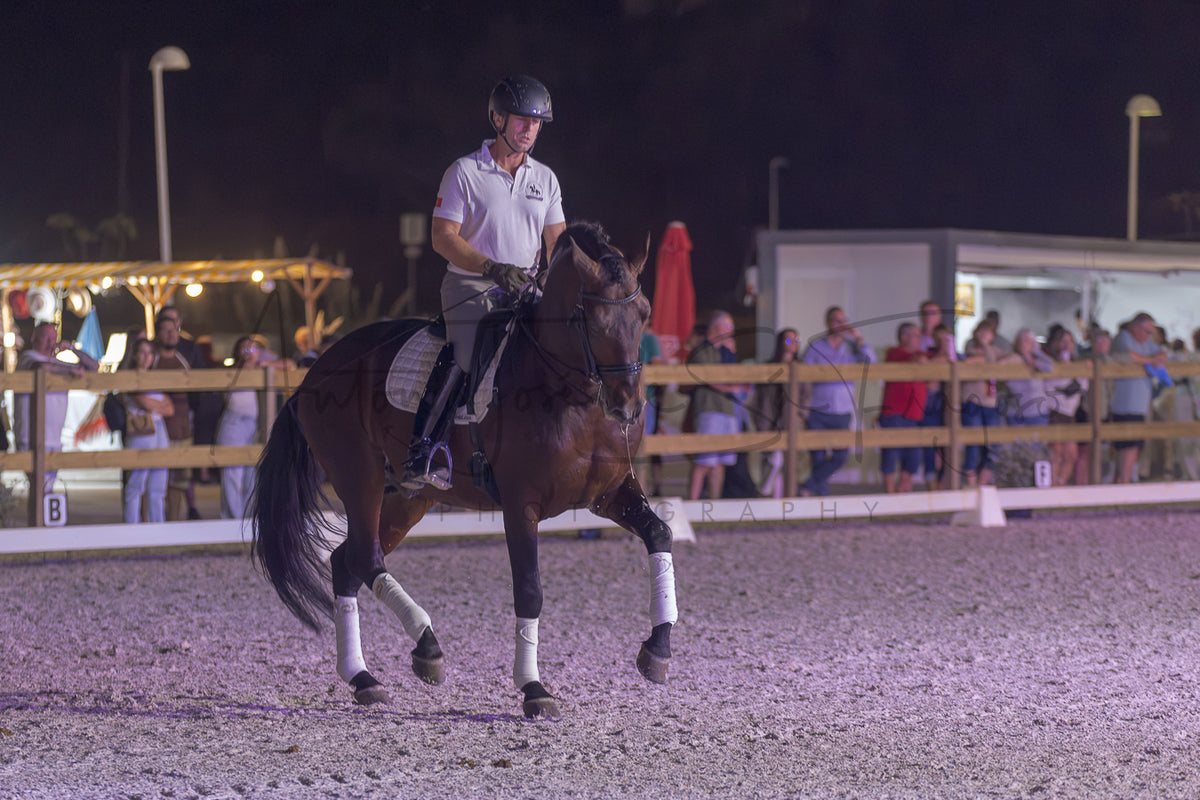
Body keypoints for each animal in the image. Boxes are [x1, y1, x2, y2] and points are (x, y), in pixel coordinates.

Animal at [251, 221, 677, 718]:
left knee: (347, 561)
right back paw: (426, 648)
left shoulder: (610, 494)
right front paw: (534, 688)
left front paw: (658, 649)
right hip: (359, 477)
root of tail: (314, 373)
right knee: (364, 558)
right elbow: (529, 590)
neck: (570, 395)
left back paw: (363, 678)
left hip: (410, 497)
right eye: (593, 320)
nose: (628, 406)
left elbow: (660, 534)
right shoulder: (521, 504)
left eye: (645, 314)